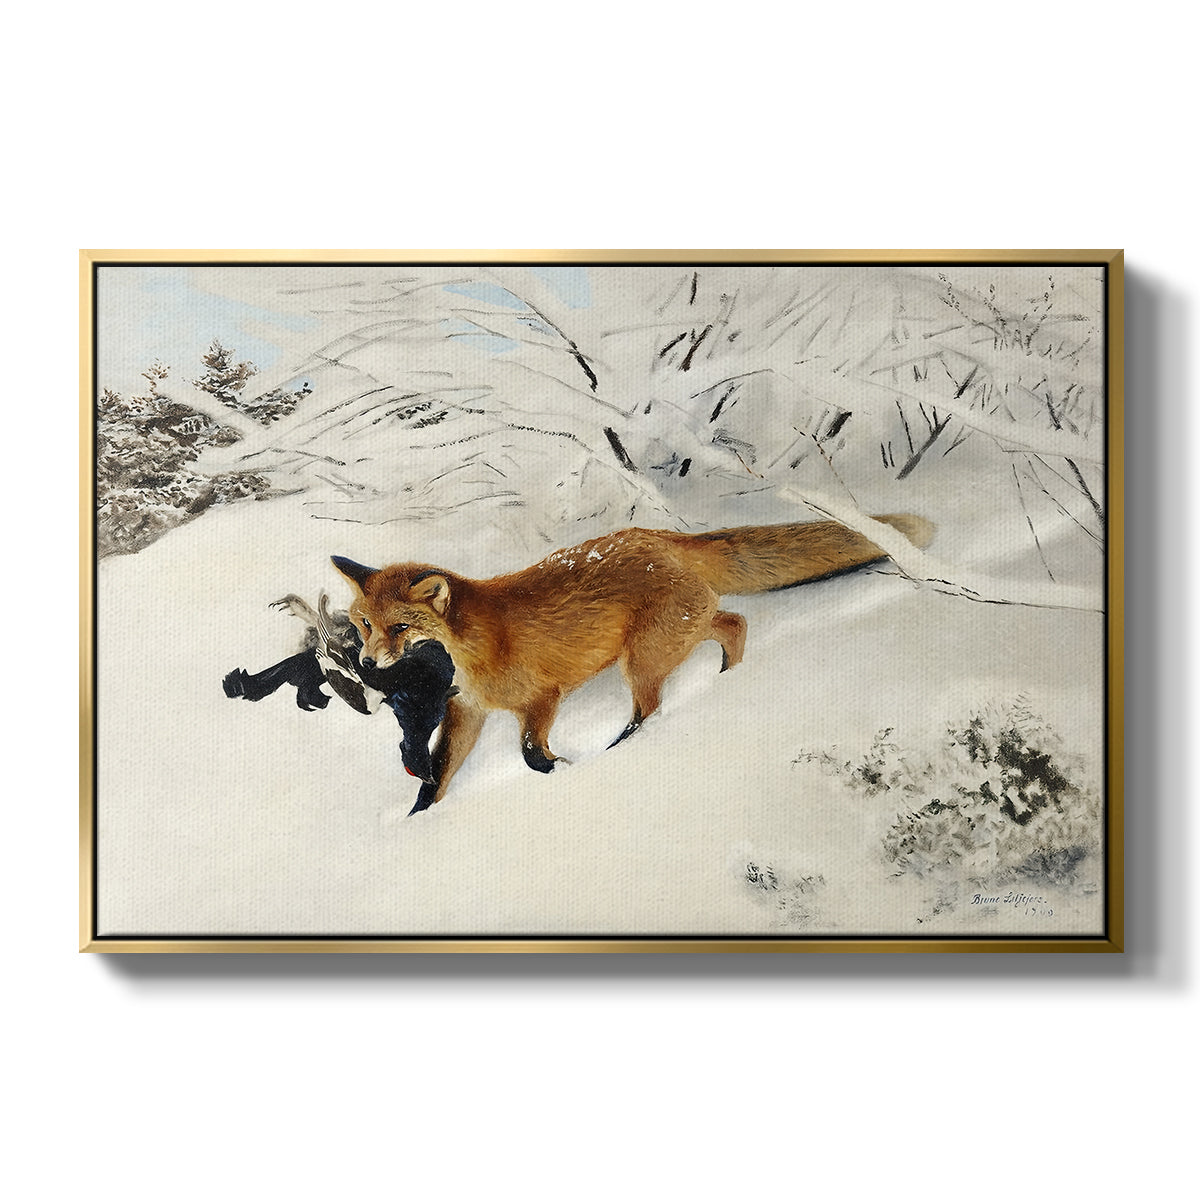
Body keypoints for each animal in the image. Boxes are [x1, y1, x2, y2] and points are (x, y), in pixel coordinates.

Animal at [332, 514, 933, 815]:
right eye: (364, 623)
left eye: (400, 628)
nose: (366, 661)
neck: (473, 648)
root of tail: (659, 537)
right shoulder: (468, 712)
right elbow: (437, 777)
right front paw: (417, 821)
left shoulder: (542, 698)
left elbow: (530, 754)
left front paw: (564, 770)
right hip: (677, 635)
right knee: (734, 622)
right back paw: (729, 679)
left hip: (642, 660)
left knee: (653, 707)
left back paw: (624, 747)